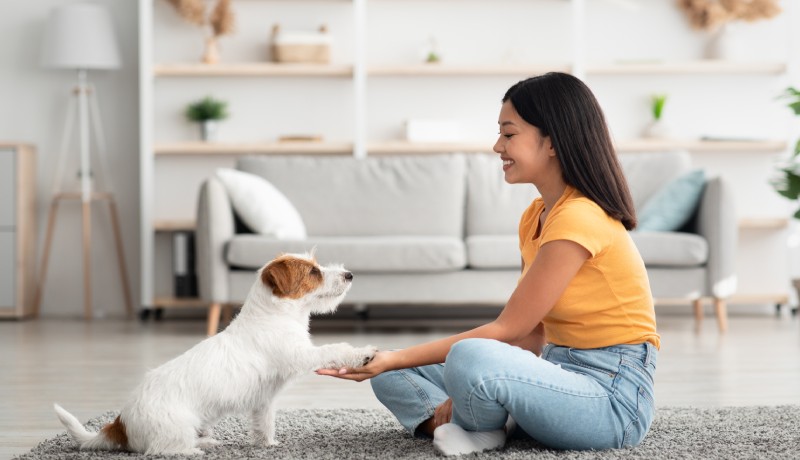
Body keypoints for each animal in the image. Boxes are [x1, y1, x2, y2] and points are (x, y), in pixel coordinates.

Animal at [54, 253, 378, 454]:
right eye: (313, 272)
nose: (350, 274)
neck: (275, 315)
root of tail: (120, 423)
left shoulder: (264, 400)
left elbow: (264, 422)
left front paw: (267, 445)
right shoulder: (301, 354)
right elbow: (334, 348)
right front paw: (363, 353)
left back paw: (206, 443)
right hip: (177, 426)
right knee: (162, 450)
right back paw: (194, 451)